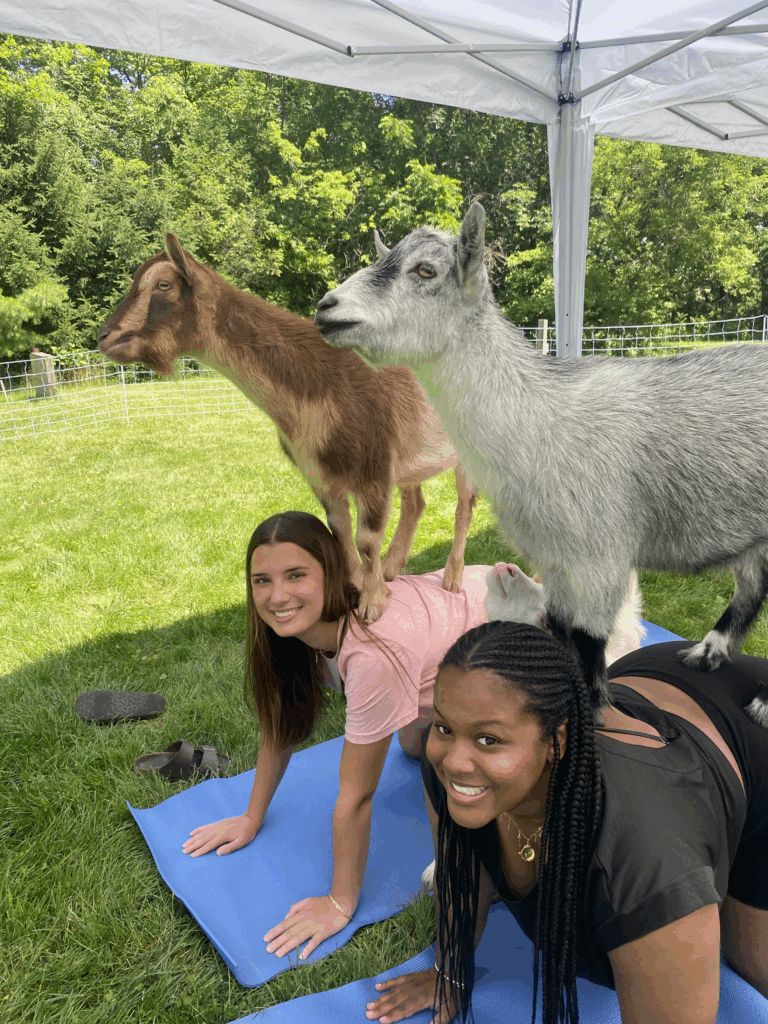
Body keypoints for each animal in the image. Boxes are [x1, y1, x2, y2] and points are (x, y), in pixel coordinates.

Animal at [97, 234, 477, 621]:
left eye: (163, 285)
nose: (105, 336)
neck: (314, 382)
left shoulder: (373, 468)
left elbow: (366, 538)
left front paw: (372, 604)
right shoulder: (320, 472)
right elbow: (339, 532)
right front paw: (355, 589)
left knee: (464, 504)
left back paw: (451, 577)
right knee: (416, 502)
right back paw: (391, 569)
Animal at [314, 202, 768, 726]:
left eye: (425, 270)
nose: (326, 308)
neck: (540, 421)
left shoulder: (596, 560)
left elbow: (588, 649)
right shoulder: (555, 561)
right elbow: (563, 637)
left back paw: (759, 701)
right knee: (753, 585)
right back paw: (708, 653)